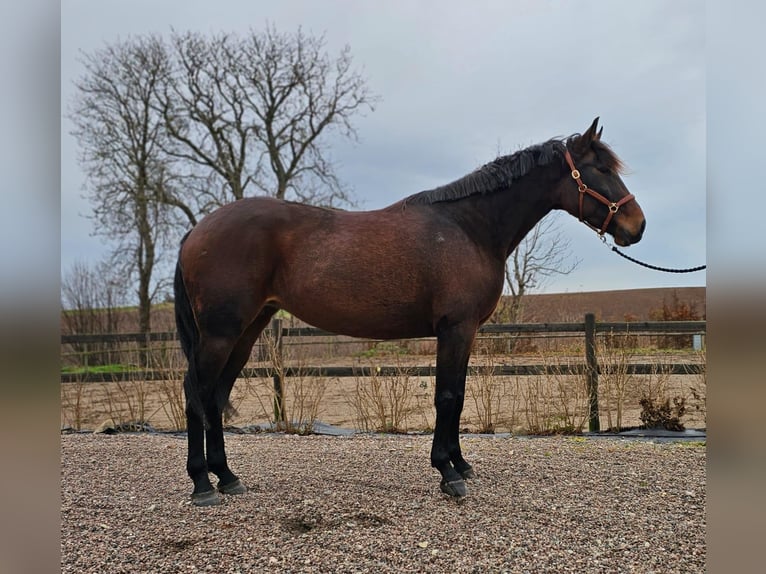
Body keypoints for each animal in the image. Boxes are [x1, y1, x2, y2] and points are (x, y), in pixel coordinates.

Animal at [176, 119, 648, 506]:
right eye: (601, 170)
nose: (638, 226)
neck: (468, 228)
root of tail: (198, 229)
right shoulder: (455, 329)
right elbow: (447, 397)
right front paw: (447, 474)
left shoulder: (466, 332)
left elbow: (458, 396)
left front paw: (461, 465)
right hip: (221, 333)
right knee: (195, 391)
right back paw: (202, 485)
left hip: (248, 329)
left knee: (215, 395)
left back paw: (228, 478)